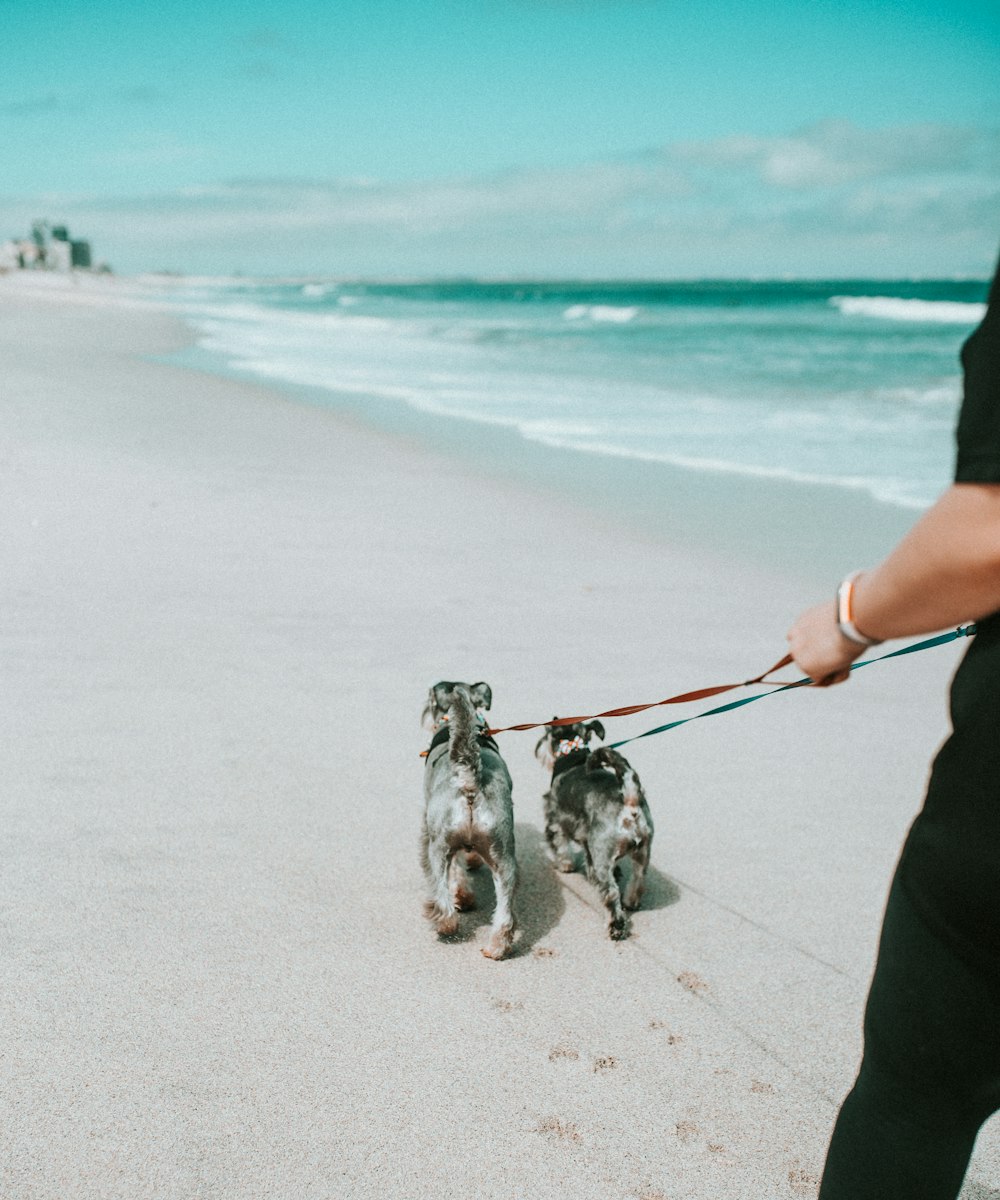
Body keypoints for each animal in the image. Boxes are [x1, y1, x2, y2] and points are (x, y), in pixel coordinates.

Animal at [420, 681, 518, 960]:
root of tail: (471, 781)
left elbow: (456, 870)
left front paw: (462, 897)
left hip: (437, 847)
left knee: (441, 894)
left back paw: (445, 925)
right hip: (503, 856)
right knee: (505, 912)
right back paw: (496, 948)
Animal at [535, 720, 653, 936]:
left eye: (547, 733)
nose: (538, 748)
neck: (573, 754)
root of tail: (629, 800)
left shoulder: (556, 821)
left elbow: (560, 846)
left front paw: (565, 865)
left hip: (602, 856)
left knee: (611, 893)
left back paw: (615, 926)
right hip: (642, 851)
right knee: (638, 878)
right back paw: (631, 902)